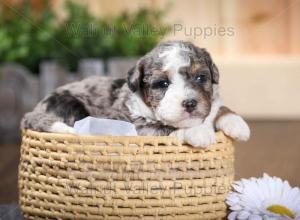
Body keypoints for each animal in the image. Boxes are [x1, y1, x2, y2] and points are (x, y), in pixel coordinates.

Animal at [21, 41, 250, 148]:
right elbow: (166, 128)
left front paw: (237, 124)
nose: (190, 103)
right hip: (69, 104)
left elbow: (218, 109)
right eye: (162, 84)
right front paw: (198, 133)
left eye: (201, 77)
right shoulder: (137, 127)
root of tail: (32, 111)